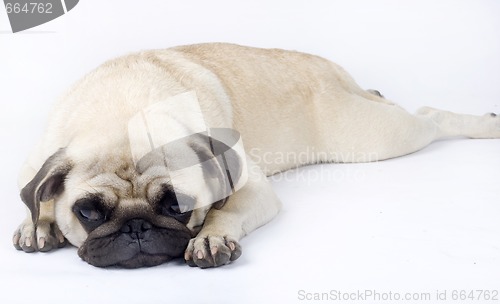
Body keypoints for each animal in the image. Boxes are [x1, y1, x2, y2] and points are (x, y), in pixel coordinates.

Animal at [12, 43, 500, 268]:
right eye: (88, 212)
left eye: (177, 207)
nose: (136, 227)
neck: (122, 119)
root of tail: (331, 70)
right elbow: (35, 198)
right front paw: (37, 223)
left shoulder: (250, 186)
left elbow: (224, 211)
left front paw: (211, 236)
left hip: (379, 138)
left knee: (432, 116)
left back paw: (484, 124)